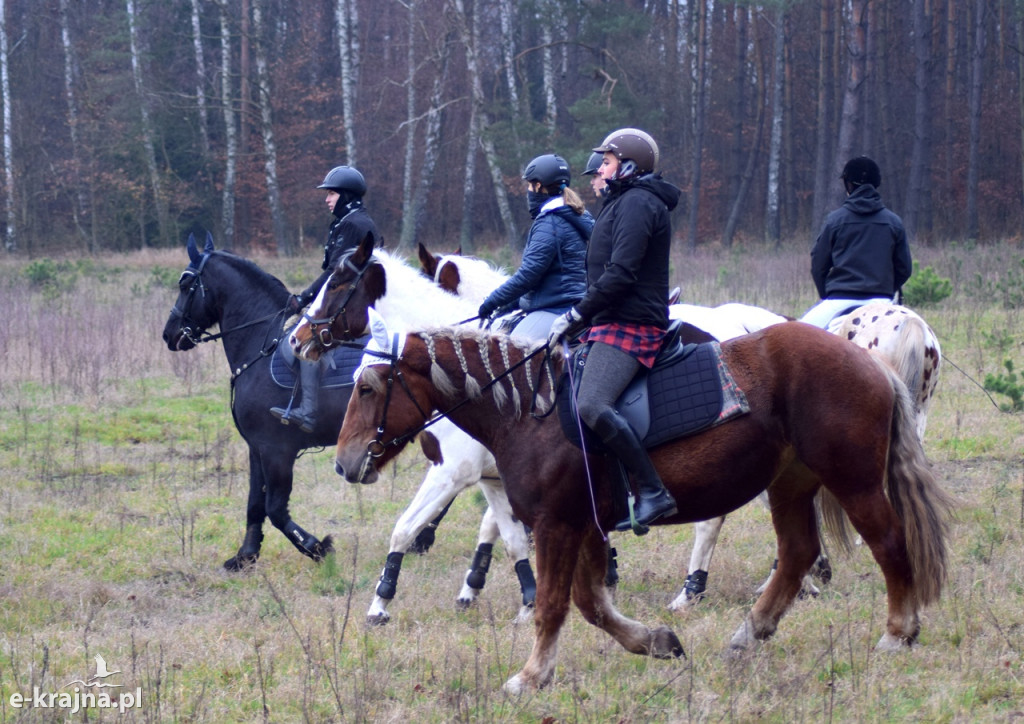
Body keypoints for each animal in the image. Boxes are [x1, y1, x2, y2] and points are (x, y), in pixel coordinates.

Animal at [163, 235, 364, 569]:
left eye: (185, 282)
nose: (170, 334)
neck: (260, 343)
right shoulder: (257, 448)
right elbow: (255, 504)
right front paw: (245, 556)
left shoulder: (276, 450)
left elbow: (276, 509)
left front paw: (317, 547)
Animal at [333, 313, 950, 692]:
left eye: (368, 388)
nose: (344, 463)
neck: (528, 409)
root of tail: (871, 363)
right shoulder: (583, 524)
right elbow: (590, 603)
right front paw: (654, 642)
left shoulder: (558, 524)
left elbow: (554, 604)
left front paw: (530, 678)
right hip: (791, 483)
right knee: (797, 555)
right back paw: (749, 635)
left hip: (853, 481)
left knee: (889, 544)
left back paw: (897, 633)